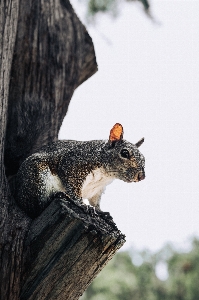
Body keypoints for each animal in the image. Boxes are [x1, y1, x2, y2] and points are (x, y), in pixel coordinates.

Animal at [15, 123, 145, 219]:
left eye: (144, 158)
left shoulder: (98, 189)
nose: (141, 177)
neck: (105, 174)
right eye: (125, 153)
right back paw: (59, 195)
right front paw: (82, 204)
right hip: (38, 176)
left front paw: (101, 211)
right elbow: (74, 189)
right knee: (37, 207)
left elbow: (95, 202)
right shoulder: (73, 165)